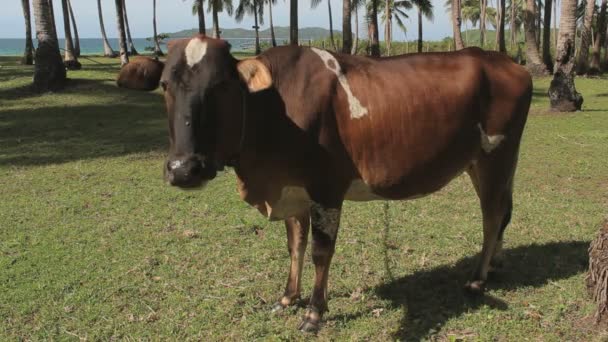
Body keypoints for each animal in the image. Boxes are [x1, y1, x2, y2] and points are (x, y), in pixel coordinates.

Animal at [158, 36, 532, 332]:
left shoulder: (326, 188)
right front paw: (288, 296)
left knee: (492, 216)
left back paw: (477, 279)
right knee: (503, 210)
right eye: (164, 85)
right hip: (487, 163)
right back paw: (495, 264)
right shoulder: (293, 191)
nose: (183, 169)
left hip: (496, 156)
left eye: (220, 85)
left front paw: (313, 313)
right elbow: (295, 245)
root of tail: (508, 63)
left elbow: (320, 252)